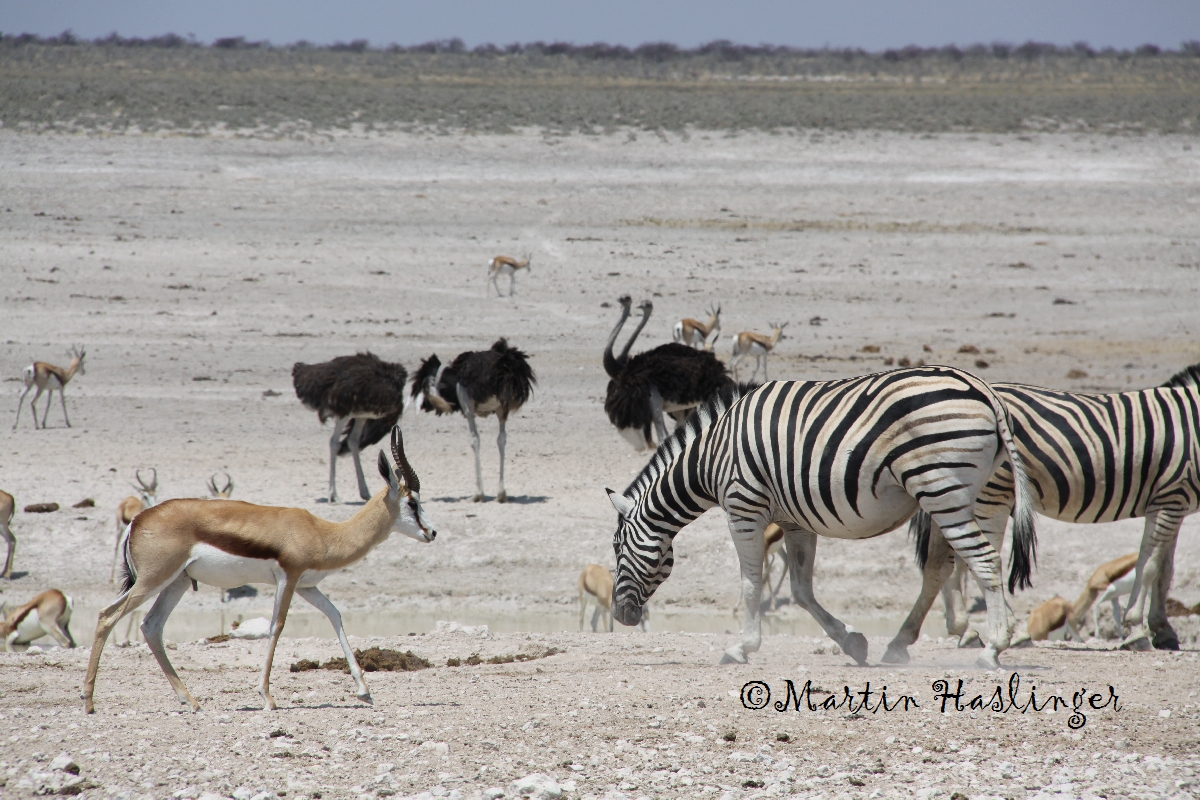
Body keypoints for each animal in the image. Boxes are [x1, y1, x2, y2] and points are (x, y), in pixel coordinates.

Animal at [83, 427, 436, 714]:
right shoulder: (288, 578)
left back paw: (191, 701)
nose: (432, 532)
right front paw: (267, 697)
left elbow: (334, 615)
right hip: (153, 580)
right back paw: (88, 702)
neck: (322, 533)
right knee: (107, 616)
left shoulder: (307, 585)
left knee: (152, 626)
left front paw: (364, 691)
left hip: (177, 583)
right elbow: (276, 626)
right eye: (413, 503)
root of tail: (138, 520)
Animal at [606, 367, 1037, 669]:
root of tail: (986, 391)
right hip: (955, 495)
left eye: (617, 549)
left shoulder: (744, 507)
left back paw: (993, 648)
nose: (620, 616)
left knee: (984, 561)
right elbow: (801, 590)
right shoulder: (793, 521)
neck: (711, 457)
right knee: (950, 565)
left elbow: (750, 584)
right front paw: (853, 643)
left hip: (940, 488)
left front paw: (741, 648)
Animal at [883, 361, 1200, 661]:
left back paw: (967, 631)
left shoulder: (1174, 504)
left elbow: (1165, 571)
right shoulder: (1170, 496)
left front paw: (1163, 631)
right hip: (988, 495)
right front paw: (1138, 631)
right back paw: (1005, 632)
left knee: (958, 559)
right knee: (972, 559)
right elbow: (1149, 567)